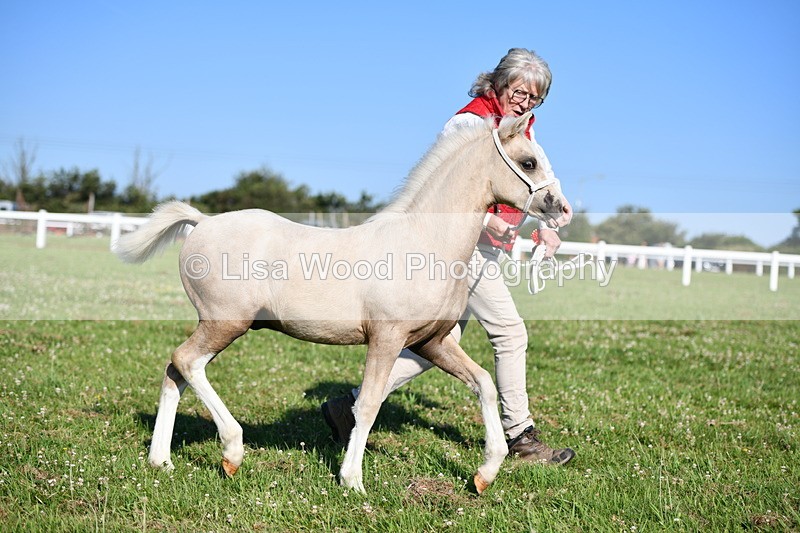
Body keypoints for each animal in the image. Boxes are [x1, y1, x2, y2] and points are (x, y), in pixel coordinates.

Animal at [114, 111, 568, 495]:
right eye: (529, 162)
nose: (561, 211)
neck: (424, 241)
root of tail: (203, 222)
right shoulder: (386, 339)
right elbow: (368, 404)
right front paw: (353, 481)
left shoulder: (432, 342)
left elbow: (485, 384)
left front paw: (485, 474)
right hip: (225, 323)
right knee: (187, 362)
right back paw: (232, 453)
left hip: (218, 326)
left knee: (174, 371)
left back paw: (161, 461)